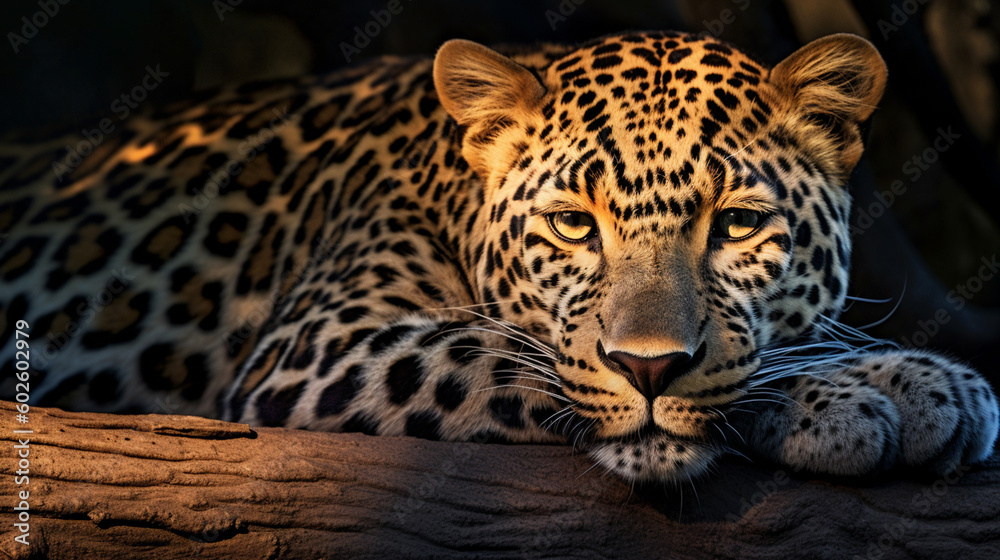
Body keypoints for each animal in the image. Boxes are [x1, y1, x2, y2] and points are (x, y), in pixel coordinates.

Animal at [1, 30, 997, 483]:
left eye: (738, 225)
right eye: (574, 227)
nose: (650, 368)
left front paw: (909, 380)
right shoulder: (319, 346)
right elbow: (510, 355)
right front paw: (859, 392)